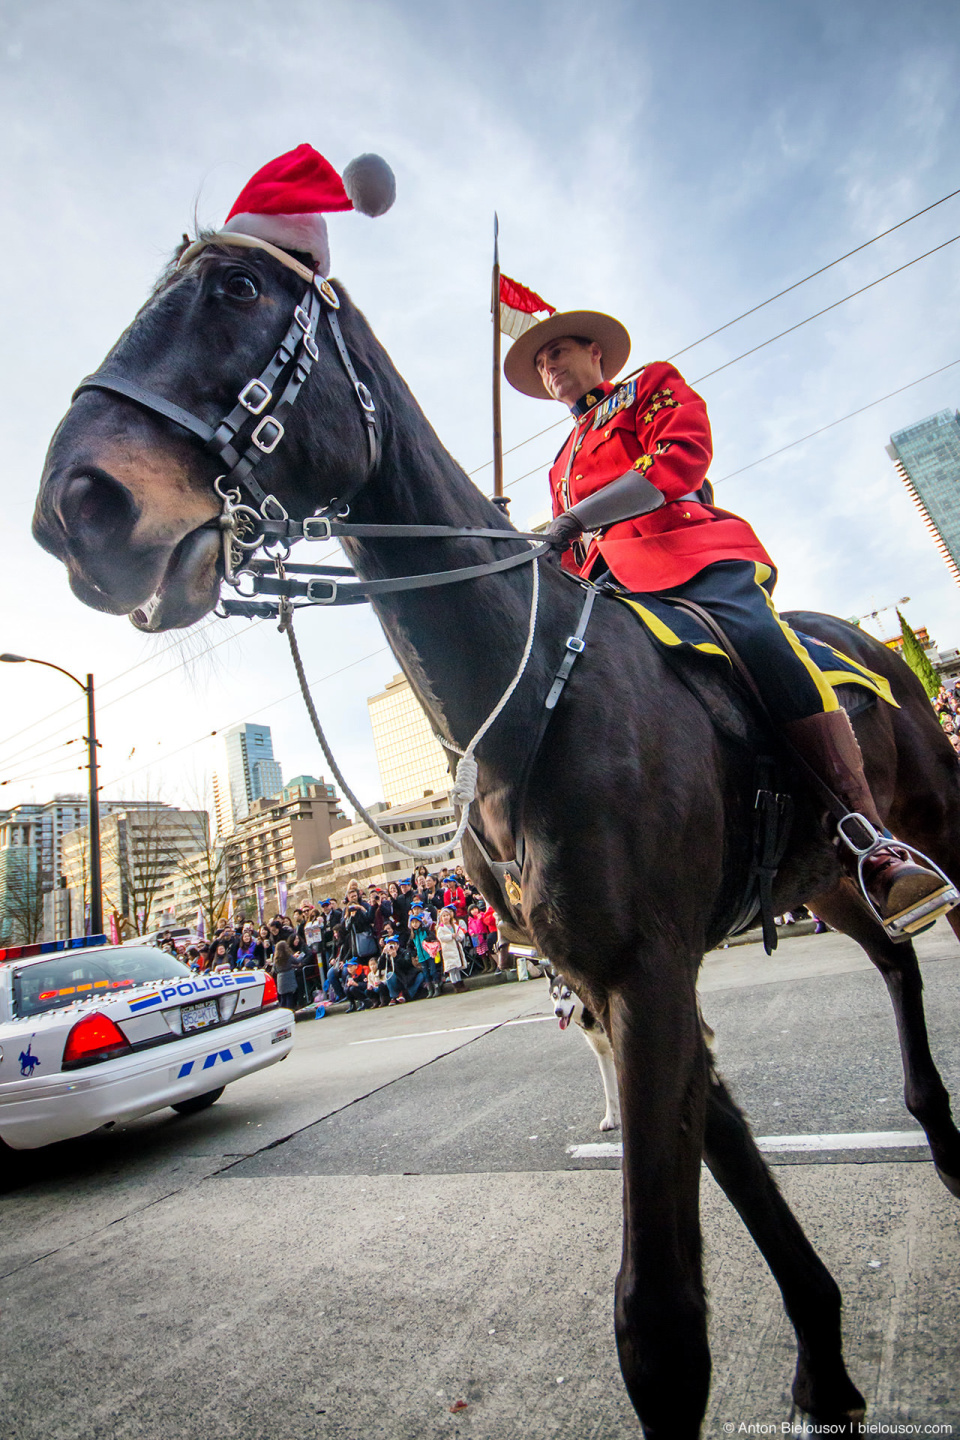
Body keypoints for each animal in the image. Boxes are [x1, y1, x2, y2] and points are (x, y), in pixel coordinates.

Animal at [544, 961, 618, 1128]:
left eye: (568, 994)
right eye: (554, 995)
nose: (558, 1011)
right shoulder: (603, 1055)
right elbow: (609, 1091)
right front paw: (610, 1118)